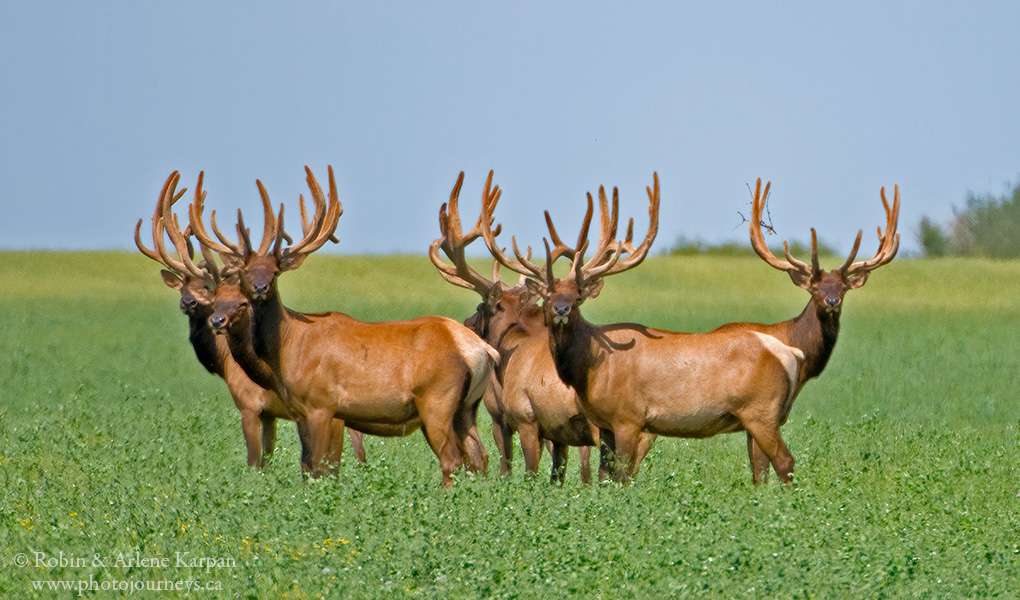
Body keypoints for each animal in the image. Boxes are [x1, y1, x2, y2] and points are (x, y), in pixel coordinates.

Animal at [134, 172, 364, 468]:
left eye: (206, 288)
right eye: (182, 288)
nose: (188, 303)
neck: (225, 363)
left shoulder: (250, 405)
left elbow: (254, 461)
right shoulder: (270, 414)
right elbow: (267, 458)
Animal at [188, 165, 496, 485]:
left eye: (274, 272)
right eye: (247, 272)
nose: (260, 288)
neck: (287, 349)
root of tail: (483, 350)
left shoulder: (322, 404)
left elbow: (320, 468)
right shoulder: (300, 411)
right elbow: (307, 465)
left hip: (437, 400)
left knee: (452, 461)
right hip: (466, 407)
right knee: (479, 456)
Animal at [486, 173, 809, 484]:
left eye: (577, 296)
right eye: (548, 296)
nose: (561, 310)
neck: (589, 369)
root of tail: (791, 354)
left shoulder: (628, 417)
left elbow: (622, 476)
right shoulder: (604, 423)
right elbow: (607, 477)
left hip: (761, 410)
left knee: (785, 461)